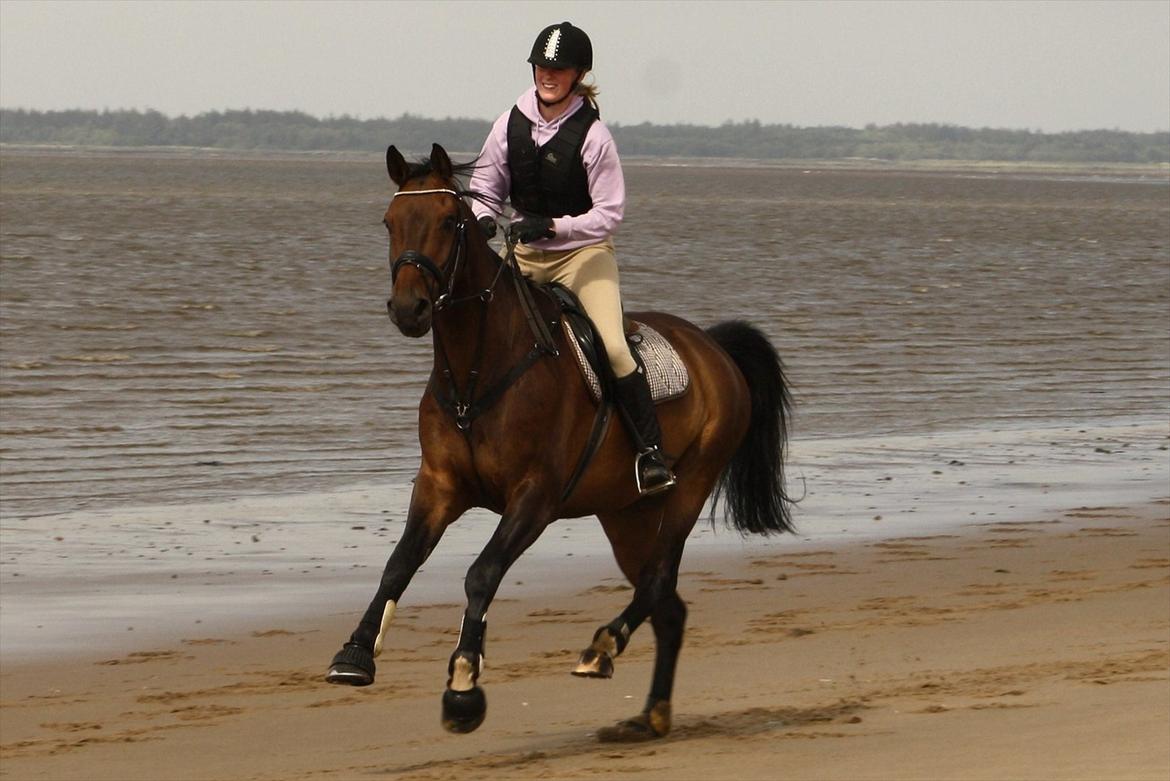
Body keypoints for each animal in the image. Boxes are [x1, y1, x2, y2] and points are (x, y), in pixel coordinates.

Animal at [327, 143, 795, 743]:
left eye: (449, 221)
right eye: (390, 221)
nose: (409, 309)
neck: (478, 369)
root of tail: (712, 347)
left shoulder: (535, 497)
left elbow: (481, 574)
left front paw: (463, 687)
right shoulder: (439, 487)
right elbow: (398, 564)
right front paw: (355, 655)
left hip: (688, 489)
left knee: (657, 580)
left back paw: (603, 648)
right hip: (624, 514)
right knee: (667, 606)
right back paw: (648, 715)